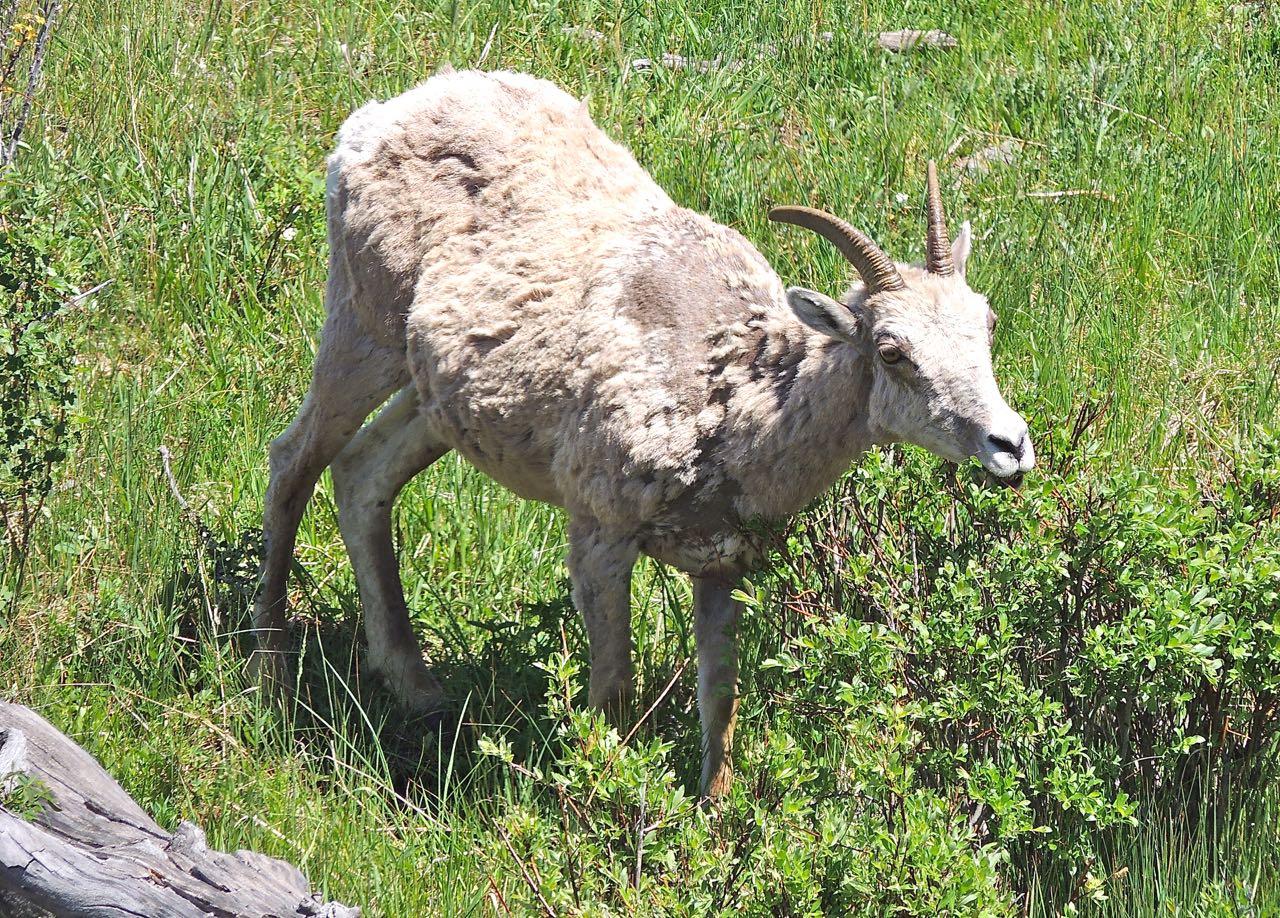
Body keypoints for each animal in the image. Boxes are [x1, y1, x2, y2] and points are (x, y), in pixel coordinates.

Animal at [254, 68, 1034, 793]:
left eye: (988, 322)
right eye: (893, 352)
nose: (1011, 447)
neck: (729, 403)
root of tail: (375, 119)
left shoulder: (724, 566)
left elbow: (720, 706)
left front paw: (712, 820)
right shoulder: (600, 537)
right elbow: (612, 699)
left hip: (432, 399)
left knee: (361, 475)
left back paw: (417, 690)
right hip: (362, 331)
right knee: (293, 460)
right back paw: (271, 672)